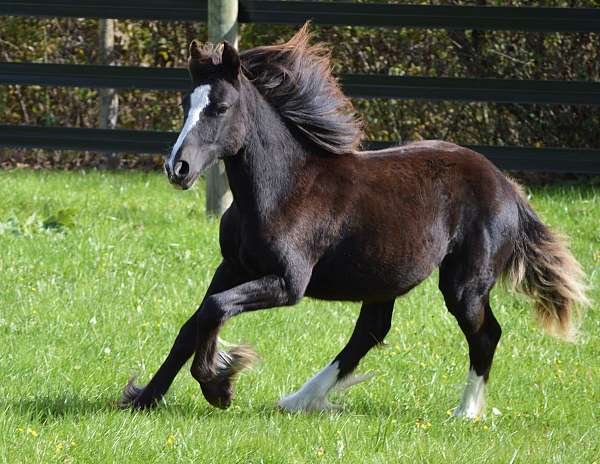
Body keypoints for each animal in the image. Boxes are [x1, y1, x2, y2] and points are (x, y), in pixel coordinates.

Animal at [119, 24, 588, 416]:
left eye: (220, 107)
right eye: (186, 103)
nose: (177, 167)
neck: (281, 191)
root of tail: (507, 186)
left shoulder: (289, 283)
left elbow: (215, 310)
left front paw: (220, 384)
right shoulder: (232, 266)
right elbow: (195, 321)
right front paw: (144, 397)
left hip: (464, 284)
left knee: (485, 333)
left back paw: (465, 412)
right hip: (384, 275)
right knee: (370, 332)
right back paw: (300, 399)